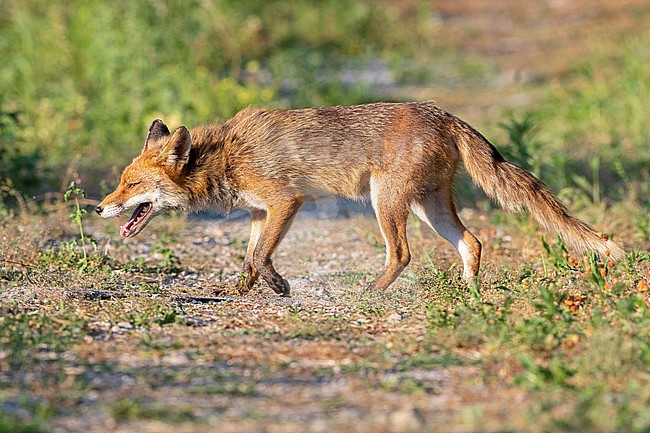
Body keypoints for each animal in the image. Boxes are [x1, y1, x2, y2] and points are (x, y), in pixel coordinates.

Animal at [96, 101, 624, 295]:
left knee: (403, 253)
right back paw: (471, 294)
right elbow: (249, 259)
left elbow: (263, 257)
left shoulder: (286, 202)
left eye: (131, 185)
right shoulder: (259, 212)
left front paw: (279, 287)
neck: (226, 155)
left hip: (385, 202)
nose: (98, 207)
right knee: (472, 243)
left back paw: (371, 293)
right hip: (427, 207)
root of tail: (444, 113)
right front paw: (242, 292)